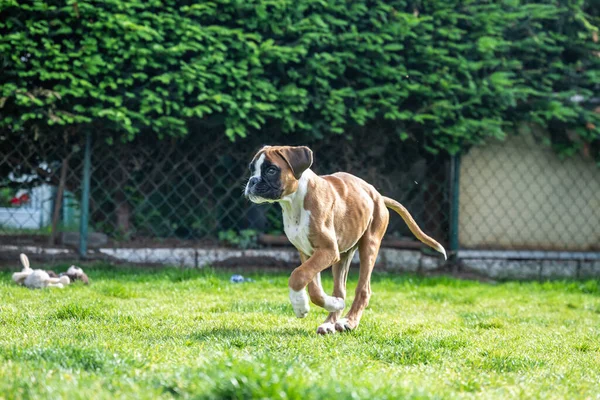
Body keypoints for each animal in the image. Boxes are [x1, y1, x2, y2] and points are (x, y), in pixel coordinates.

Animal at [244, 145, 446, 332]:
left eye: (271, 170)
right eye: (252, 169)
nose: (251, 181)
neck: (294, 202)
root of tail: (378, 195)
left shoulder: (327, 250)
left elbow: (297, 275)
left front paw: (299, 306)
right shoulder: (308, 253)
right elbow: (313, 288)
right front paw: (328, 303)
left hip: (369, 246)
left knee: (363, 290)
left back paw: (349, 322)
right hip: (343, 256)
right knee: (340, 289)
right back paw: (330, 321)